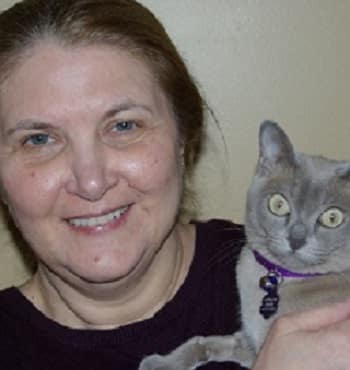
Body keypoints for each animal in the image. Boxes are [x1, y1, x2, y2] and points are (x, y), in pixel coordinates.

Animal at [139, 120, 350, 368]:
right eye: (278, 204)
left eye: (333, 218)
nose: (296, 239)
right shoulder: (248, 342)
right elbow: (202, 341)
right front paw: (161, 363)